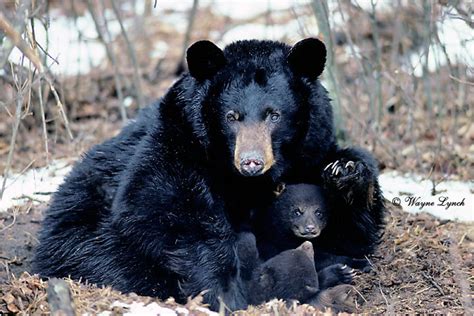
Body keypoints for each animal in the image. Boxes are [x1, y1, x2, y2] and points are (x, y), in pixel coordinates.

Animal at [36, 38, 386, 310]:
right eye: (232, 116)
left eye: (274, 115)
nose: (251, 162)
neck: (247, 183)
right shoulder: (177, 145)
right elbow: (161, 210)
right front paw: (225, 291)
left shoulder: (311, 151)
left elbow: (352, 232)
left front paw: (346, 174)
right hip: (81, 241)